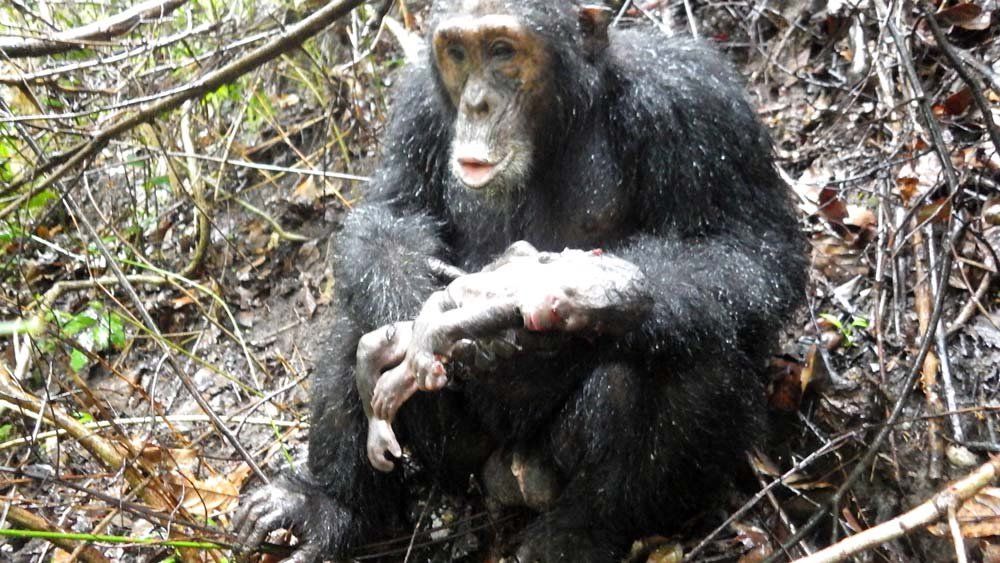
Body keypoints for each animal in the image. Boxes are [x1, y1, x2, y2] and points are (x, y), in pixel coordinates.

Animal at [232, 1, 804, 560]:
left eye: (502, 50)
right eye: (458, 53)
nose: (478, 102)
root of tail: (508, 477)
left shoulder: (696, 103)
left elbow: (748, 247)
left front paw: (559, 298)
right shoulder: (416, 106)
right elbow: (391, 212)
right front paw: (425, 318)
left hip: (547, 464)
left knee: (693, 351)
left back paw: (578, 532)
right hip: (459, 456)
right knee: (355, 323)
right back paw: (329, 508)